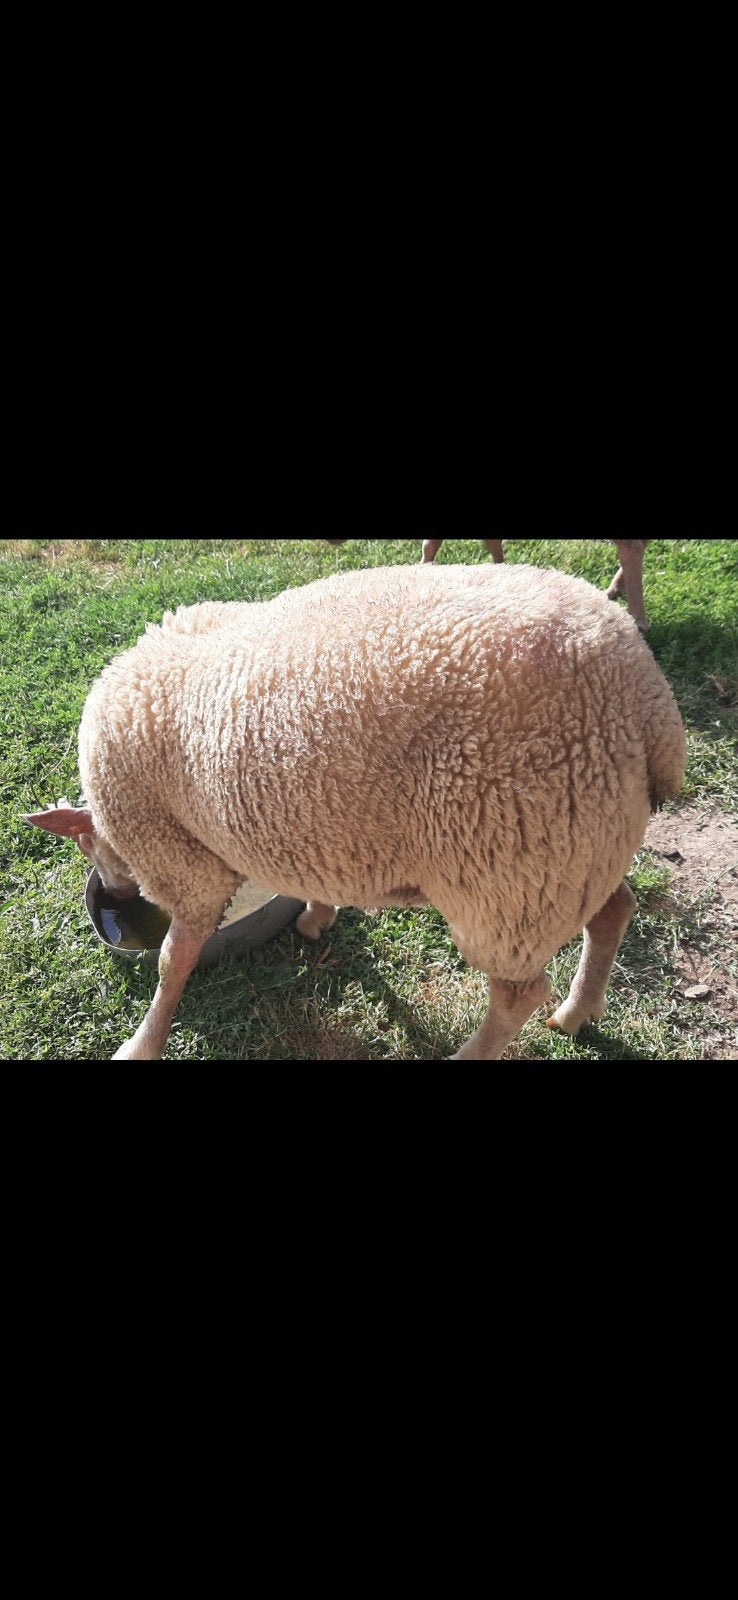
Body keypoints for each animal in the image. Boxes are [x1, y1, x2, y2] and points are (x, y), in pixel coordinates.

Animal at [24, 561, 685, 1061]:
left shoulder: (187, 868)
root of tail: (647, 700)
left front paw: (142, 1042)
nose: (114, 892)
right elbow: (306, 882)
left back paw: (475, 1051)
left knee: (518, 994)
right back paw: (577, 1012)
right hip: (576, 848)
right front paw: (317, 917)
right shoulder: (296, 831)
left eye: (84, 846)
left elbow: (170, 963)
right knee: (614, 911)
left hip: (511, 876)